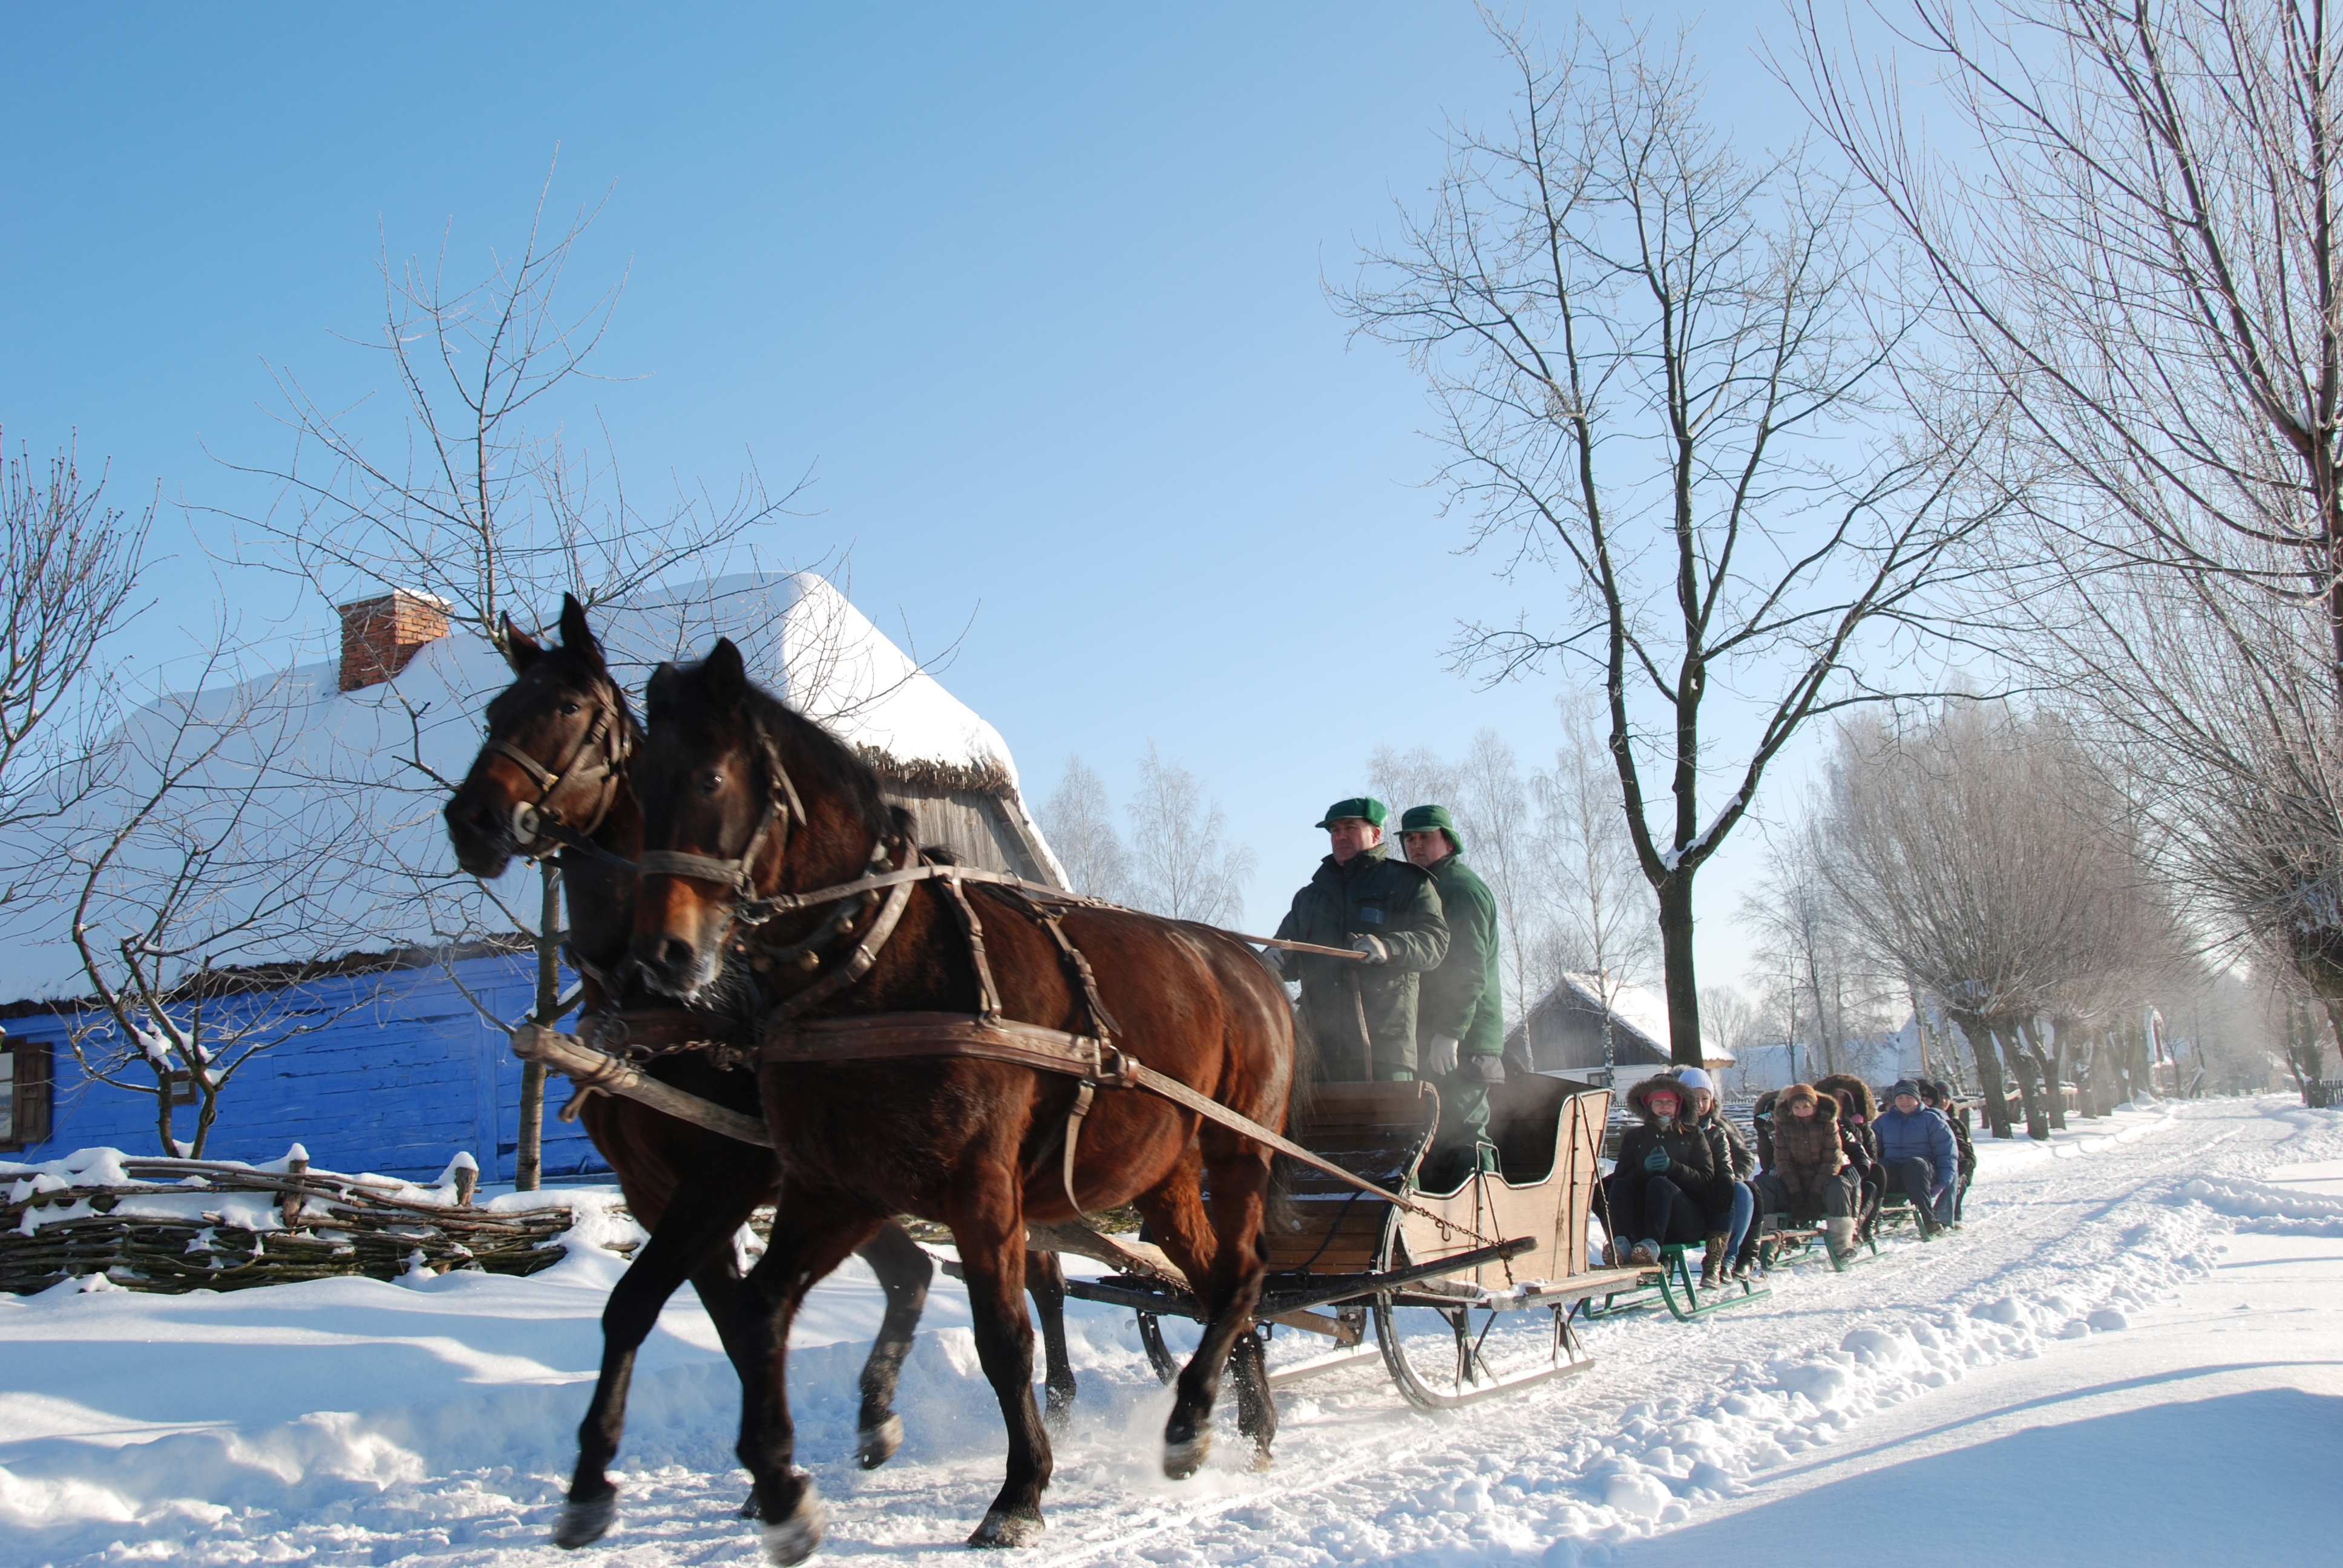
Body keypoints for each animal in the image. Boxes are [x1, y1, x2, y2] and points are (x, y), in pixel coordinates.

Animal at [440, 593, 1078, 1547]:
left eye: (566, 708)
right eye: (492, 712)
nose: (471, 821)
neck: (662, 1001)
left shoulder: (727, 1174)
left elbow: (642, 1303)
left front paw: (719, 1478)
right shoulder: (662, 1189)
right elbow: (708, 1315)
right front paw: (738, 1476)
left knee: (1034, 1277)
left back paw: (1059, 1402)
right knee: (915, 1272)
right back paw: (878, 1417)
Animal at [632, 637, 1293, 1566]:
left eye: (709, 779)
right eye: (638, 782)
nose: (664, 953)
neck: (880, 971)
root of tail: (1249, 965)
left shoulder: (982, 1194)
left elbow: (1003, 1341)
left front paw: (1019, 1494)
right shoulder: (834, 1189)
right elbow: (761, 1313)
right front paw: (780, 1487)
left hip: (1239, 1152)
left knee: (1242, 1281)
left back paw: (1193, 1419)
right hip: (1163, 1180)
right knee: (1221, 1284)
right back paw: (1237, 1417)